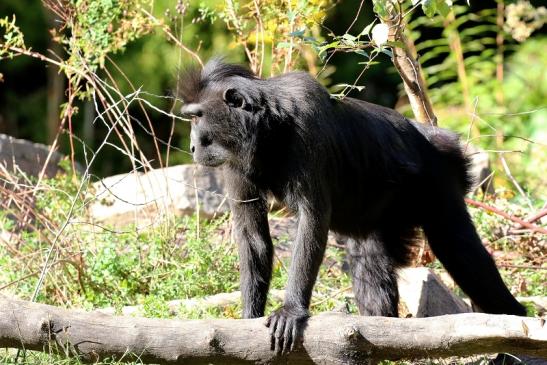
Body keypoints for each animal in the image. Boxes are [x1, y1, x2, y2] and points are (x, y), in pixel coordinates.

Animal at [179, 59, 528, 352]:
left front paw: (291, 310)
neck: (269, 128)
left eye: (197, 116)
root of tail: (435, 141)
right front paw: (246, 320)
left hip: (437, 187)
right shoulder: (234, 162)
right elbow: (253, 238)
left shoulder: (307, 127)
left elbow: (312, 221)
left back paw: (515, 327)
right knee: (369, 260)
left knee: (458, 248)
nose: (193, 147)